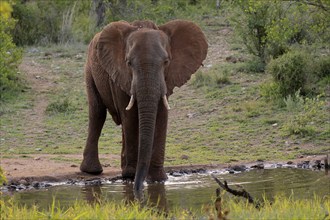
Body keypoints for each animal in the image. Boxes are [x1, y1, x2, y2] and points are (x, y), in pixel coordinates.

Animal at [80, 19, 208, 193]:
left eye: (166, 62)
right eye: (128, 63)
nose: (138, 188)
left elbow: (161, 115)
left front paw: (158, 180)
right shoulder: (119, 73)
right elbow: (130, 117)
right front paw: (132, 176)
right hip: (90, 69)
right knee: (97, 113)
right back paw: (94, 171)